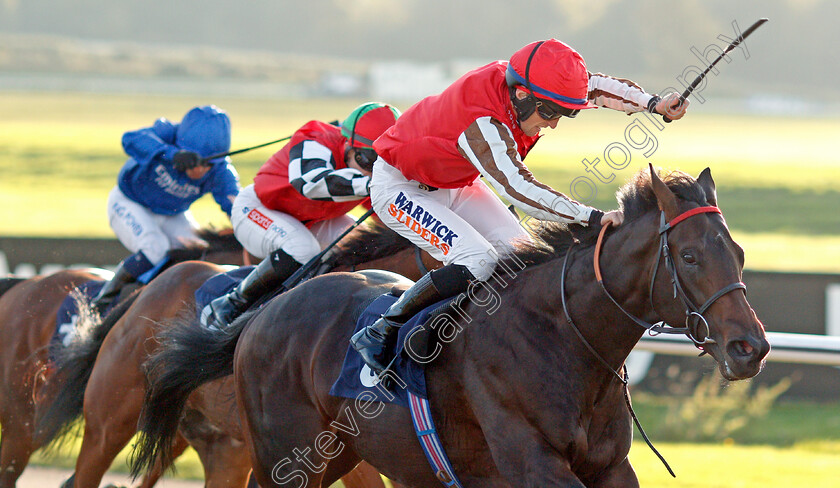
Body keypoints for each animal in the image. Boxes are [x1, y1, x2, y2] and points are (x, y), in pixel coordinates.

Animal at [130, 168, 768, 488]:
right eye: (689, 256)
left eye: (737, 252)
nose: (751, 348)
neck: (564, 339)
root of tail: (267, 312)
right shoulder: (532, 461)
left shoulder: (610, 467)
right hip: (283, 457)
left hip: (339, 454)